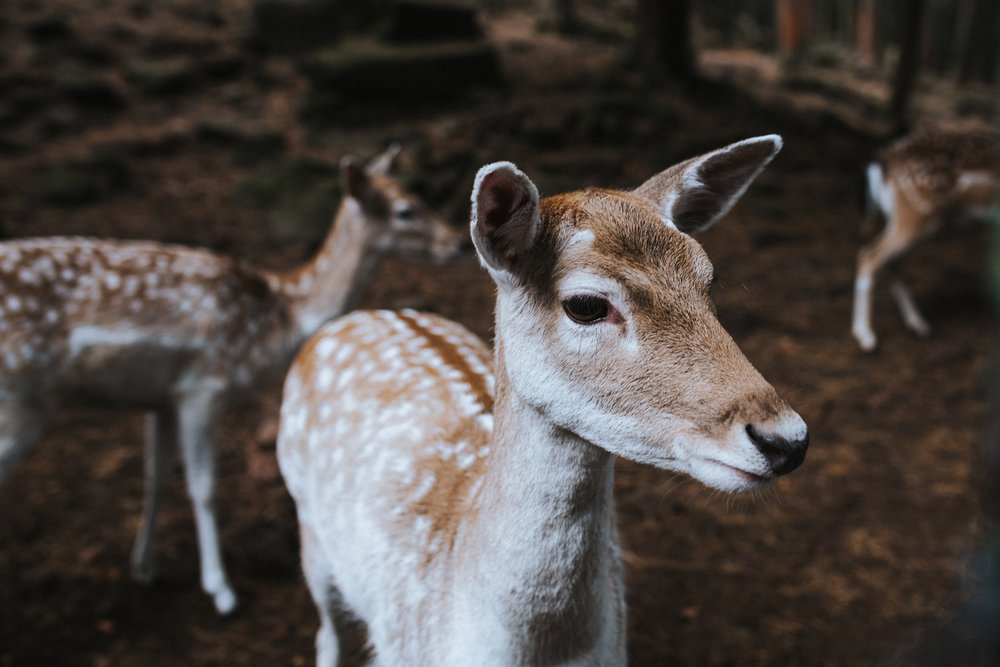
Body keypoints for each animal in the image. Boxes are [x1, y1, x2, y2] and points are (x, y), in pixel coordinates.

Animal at [0, 146, 460, 616]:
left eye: (419, 195)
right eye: (406, 210)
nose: (456, 242)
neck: (280, 316)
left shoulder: (162, 397)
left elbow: (156, 475)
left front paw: (144, 567)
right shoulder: (204, 386)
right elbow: (204, 487)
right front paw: (221, 590)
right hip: (21, 394)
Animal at [278, 133, 808, 664]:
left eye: (709, 279)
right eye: (586, 304)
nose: (786, 439)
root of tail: (354, 316)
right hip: (310, 532)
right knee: (327, 631)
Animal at [852, 127, 1000, 352]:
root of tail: (883, 159)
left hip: (910, 220)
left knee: (893, 263)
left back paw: (918, 325)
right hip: (915, 214)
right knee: (869, 254)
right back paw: (866, 336)